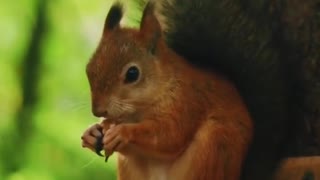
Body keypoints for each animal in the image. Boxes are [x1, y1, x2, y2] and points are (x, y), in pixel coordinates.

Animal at [80, 0, 300, 180]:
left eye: (132, 74)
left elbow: (170, 135)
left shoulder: (188, 102)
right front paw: (93, 131)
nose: (98, 111)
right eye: (89, 69)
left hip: (215, 144)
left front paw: (123, 132)